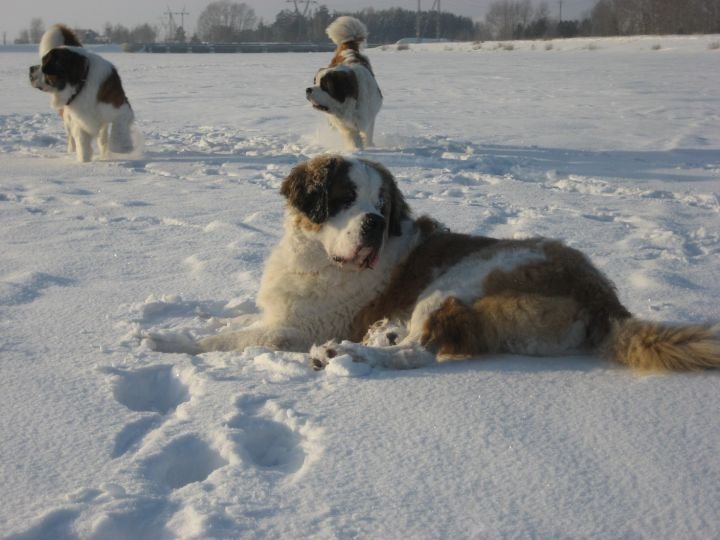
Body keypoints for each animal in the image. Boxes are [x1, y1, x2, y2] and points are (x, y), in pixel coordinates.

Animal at [148, 154, 720, 374]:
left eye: (382, 204)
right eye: (346, 197)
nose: (375, 222)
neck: (317, 257)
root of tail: (606, 299)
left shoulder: (294, 329)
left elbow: (230, 339)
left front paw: (168, 340)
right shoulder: (282, 310)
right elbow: (238, 318)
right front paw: (195, 317)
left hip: (463, 277)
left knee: (421, 351)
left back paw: (351, 356)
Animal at [304, 16, 382, 150]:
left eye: (324, 86)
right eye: (315, 81)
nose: (308, 89)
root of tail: (348, 45)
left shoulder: (368, 117)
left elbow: (367, 133)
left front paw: (368, 146)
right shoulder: (347, 127)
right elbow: (353, 138)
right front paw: (356, 149)